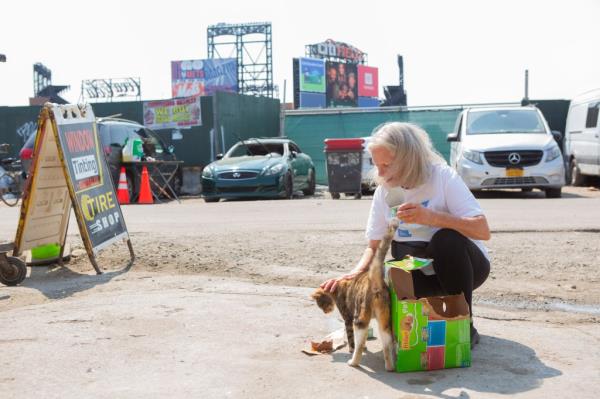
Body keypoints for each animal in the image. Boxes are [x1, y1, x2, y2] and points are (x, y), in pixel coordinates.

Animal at [310, 220, 398, 370]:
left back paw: (353, 362)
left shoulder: (348, 317)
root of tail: (374, 280)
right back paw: (390, 366)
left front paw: (351, 349)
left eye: (321, 304)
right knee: (387, 344)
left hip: (359, 318)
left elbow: (350, 337)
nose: (326, 312)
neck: (336, 287)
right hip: (384, 320)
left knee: (359, 344)